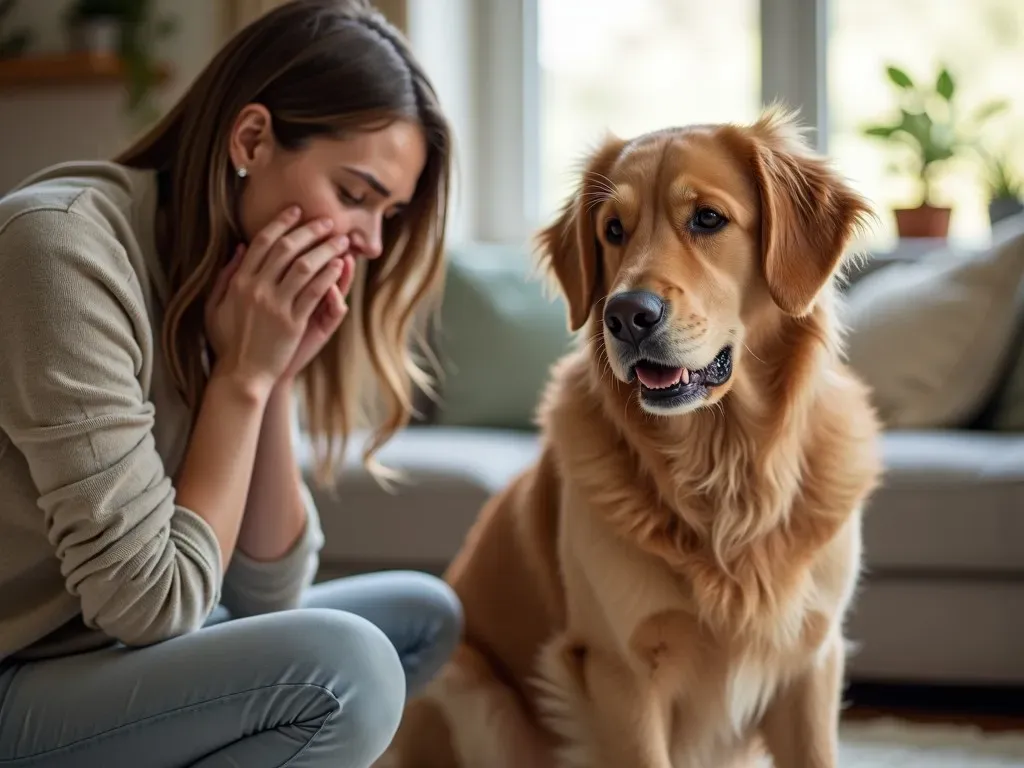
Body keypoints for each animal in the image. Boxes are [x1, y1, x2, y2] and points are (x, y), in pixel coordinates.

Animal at [374, 109, 880, 768]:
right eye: (613, 230)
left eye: (708, 218)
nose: (626, 316)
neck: (726, 466)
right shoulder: (621, 673)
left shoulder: (812, 660)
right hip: (471, 687)